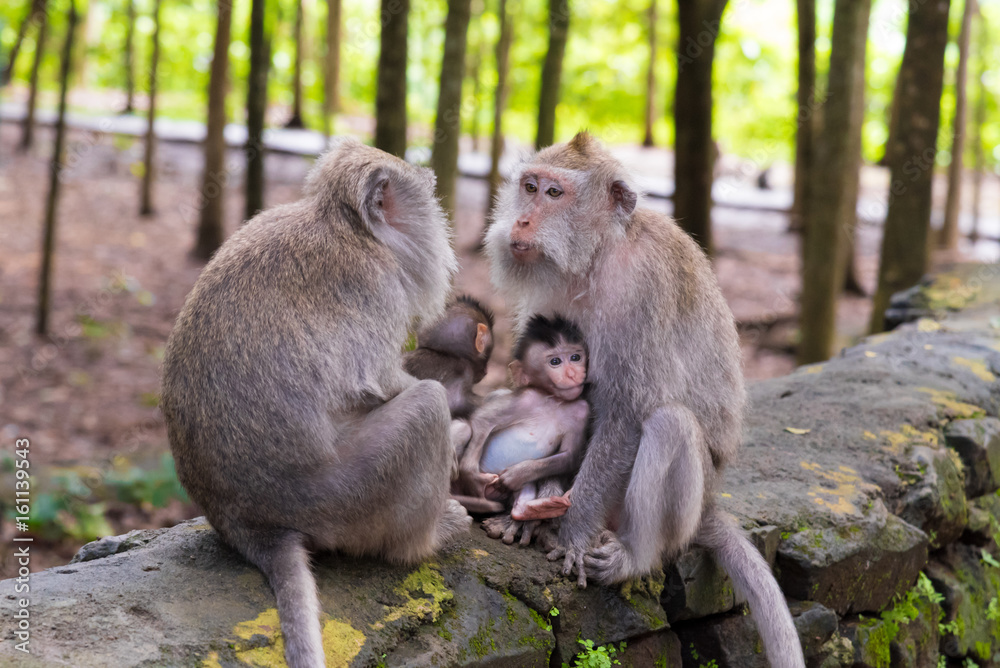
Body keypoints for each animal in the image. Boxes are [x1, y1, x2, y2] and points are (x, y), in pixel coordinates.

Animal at [163, 138, 472, 668]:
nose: (439, 213)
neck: (346, 225)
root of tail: (248, 524)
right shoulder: (378, 286)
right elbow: (382, 379)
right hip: (341, 495)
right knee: (427, 406)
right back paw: (429, 536)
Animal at [458, 314, 588, 544]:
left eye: (575, 357)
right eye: (555, 362)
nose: (573, 373)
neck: (555, 402)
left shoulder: (582, 411)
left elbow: (569, 455)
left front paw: (516, 474)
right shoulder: (527, 397)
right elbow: (484, 419)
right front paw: (471, 476)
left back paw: (534, 509)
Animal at [484, 132, 804, 668]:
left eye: (554, 193)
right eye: (529, 187)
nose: (522, 221)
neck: (594, 257)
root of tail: (710, 506)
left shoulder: (644, 288)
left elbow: (628, 413)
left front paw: (572, 534)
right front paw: (533, 507)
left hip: (684, 505)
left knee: (669, 423)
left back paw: (633, 556)